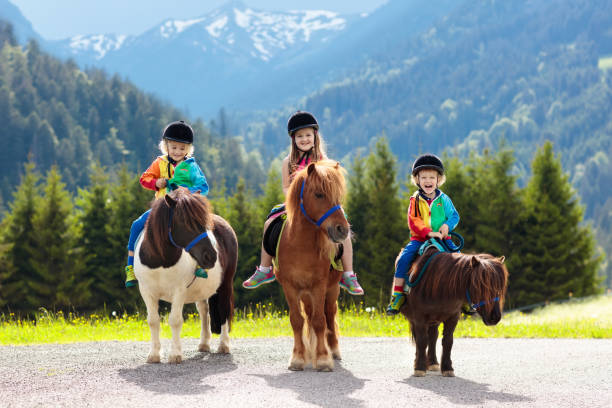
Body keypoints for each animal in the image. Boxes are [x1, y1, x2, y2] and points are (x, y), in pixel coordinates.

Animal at [134, 188, 237, 364]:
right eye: (185, 221)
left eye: (204, 222)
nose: (211, 256)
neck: (161, 261)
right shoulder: (146, 291)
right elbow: (153, 321)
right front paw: (154, 354)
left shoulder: (179, 291)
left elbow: (175, 321)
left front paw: (175, 354)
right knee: (204, 311)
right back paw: (204, 344)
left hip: (225, 285)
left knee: (223, 310)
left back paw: (224, 345)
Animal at [276, 161, 350, 372]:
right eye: (319, 194)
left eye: (338, 195)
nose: (342, 229)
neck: (300, 245)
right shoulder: (290, 286)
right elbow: (297, 320)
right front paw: (298, 358)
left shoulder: (319, 285)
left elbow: (319, 321)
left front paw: (323, 358)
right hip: (306, 293)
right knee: (308, 315)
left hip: (331, 289)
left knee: (329, 314)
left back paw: (333, 350)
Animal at [400, 245, 510, 376]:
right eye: (480, 285)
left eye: (500, 287)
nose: (495, 317)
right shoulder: (419, 318)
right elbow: (421, 340)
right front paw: (420, 367)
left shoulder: (453, 317)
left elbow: (448, 341)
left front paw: (447, 368)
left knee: (433, 336)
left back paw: (432, 363)